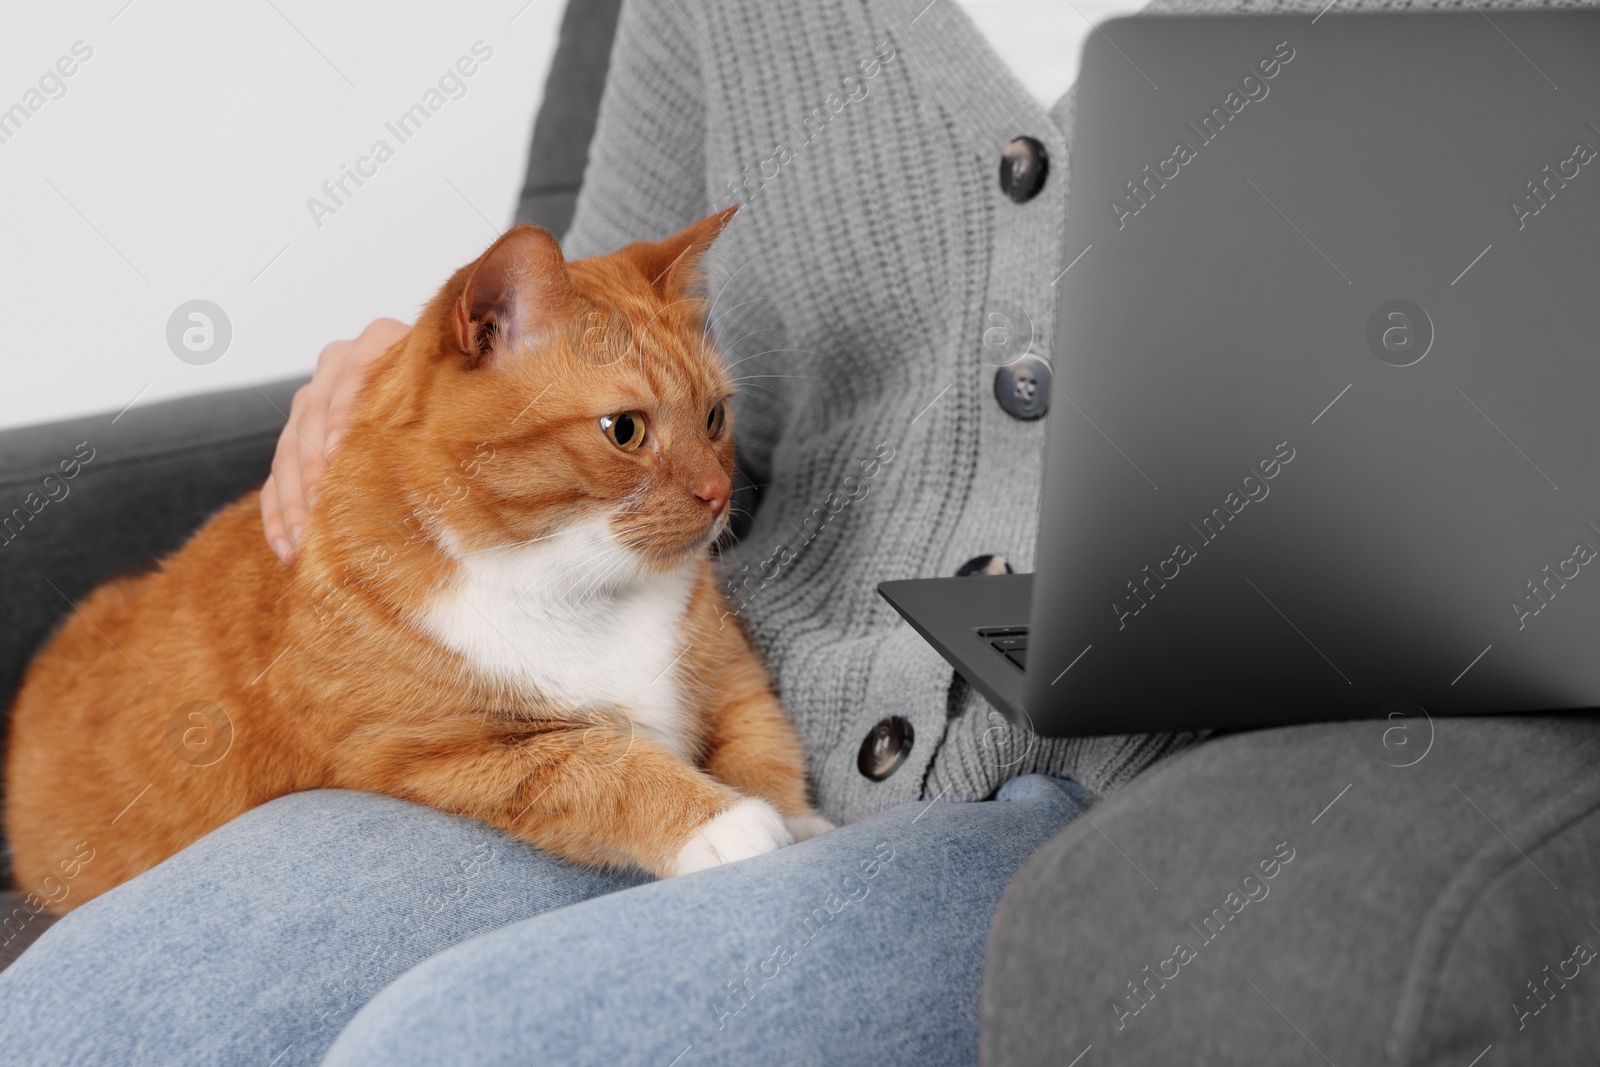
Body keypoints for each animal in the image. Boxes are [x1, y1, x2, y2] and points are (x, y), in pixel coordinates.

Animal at [12, 211, 832, 921]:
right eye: (624, 430)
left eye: (714, 417)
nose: (720, 494)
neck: (578, 589)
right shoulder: (443, 751)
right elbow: (599, 763)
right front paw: (722, 822)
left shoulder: (730, 675)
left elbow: (762, 745)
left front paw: (798, 823)